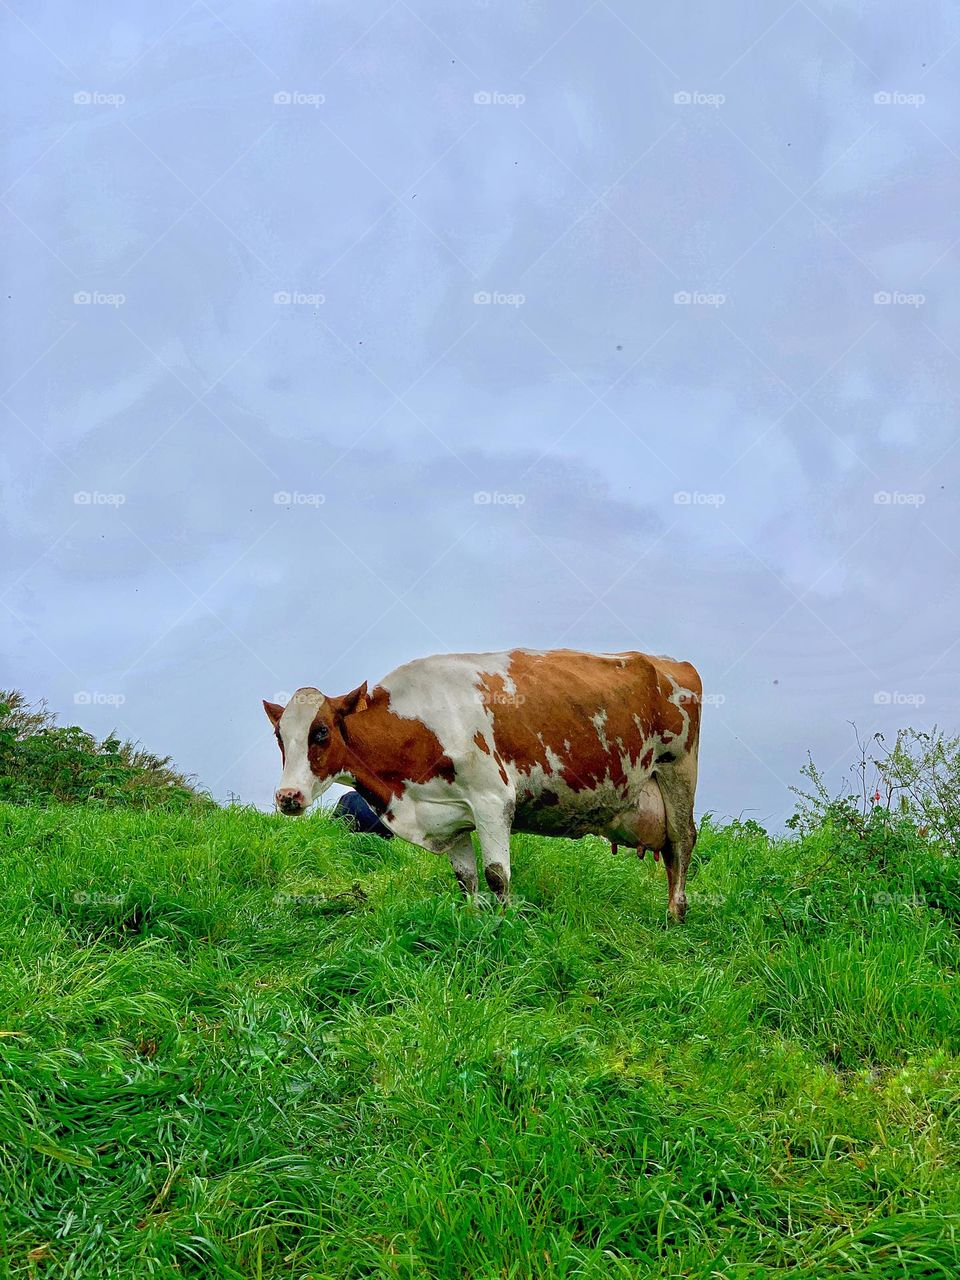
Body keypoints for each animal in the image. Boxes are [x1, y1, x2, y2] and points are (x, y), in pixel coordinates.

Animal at [263, 648, 701, 920]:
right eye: (280, 737)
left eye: (321, 732)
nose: (287, 797)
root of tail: (670, 663)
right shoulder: (450, 815)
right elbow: (466, 879)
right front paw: (472, 920)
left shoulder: (493, 801)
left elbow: (496, 875)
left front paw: (505, 927)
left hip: (677, 772)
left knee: (682, 843)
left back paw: (675, 914)